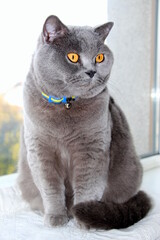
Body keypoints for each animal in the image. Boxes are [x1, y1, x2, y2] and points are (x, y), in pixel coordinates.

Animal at [17, 15, 151, 229]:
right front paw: (56, 217)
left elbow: (88, 185)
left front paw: (81, 216)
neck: (66, 105)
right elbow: (50, 186)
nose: (91, 71)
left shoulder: (92, 148)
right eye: (73, 57)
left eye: (100, 57)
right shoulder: (40, 149)